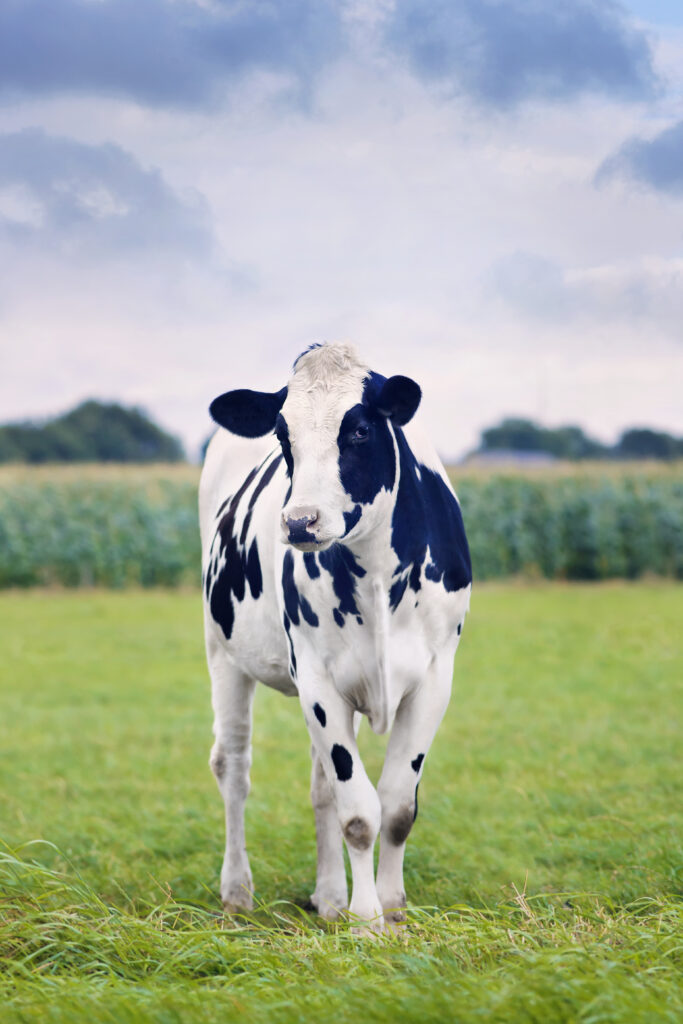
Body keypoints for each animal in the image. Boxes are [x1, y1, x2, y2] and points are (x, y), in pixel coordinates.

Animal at [199, 342, 471, 932]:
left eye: (361, 430)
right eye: (282, 435)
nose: (301, 522)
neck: (378, 577)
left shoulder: (436, 677)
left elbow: (396, 807)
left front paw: (390, 909)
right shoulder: (318, 678)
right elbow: (359, 812)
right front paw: (367, 920)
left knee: (320, 785)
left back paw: (328, 897)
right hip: (222, 652)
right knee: (233, 766)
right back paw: (237, 891)